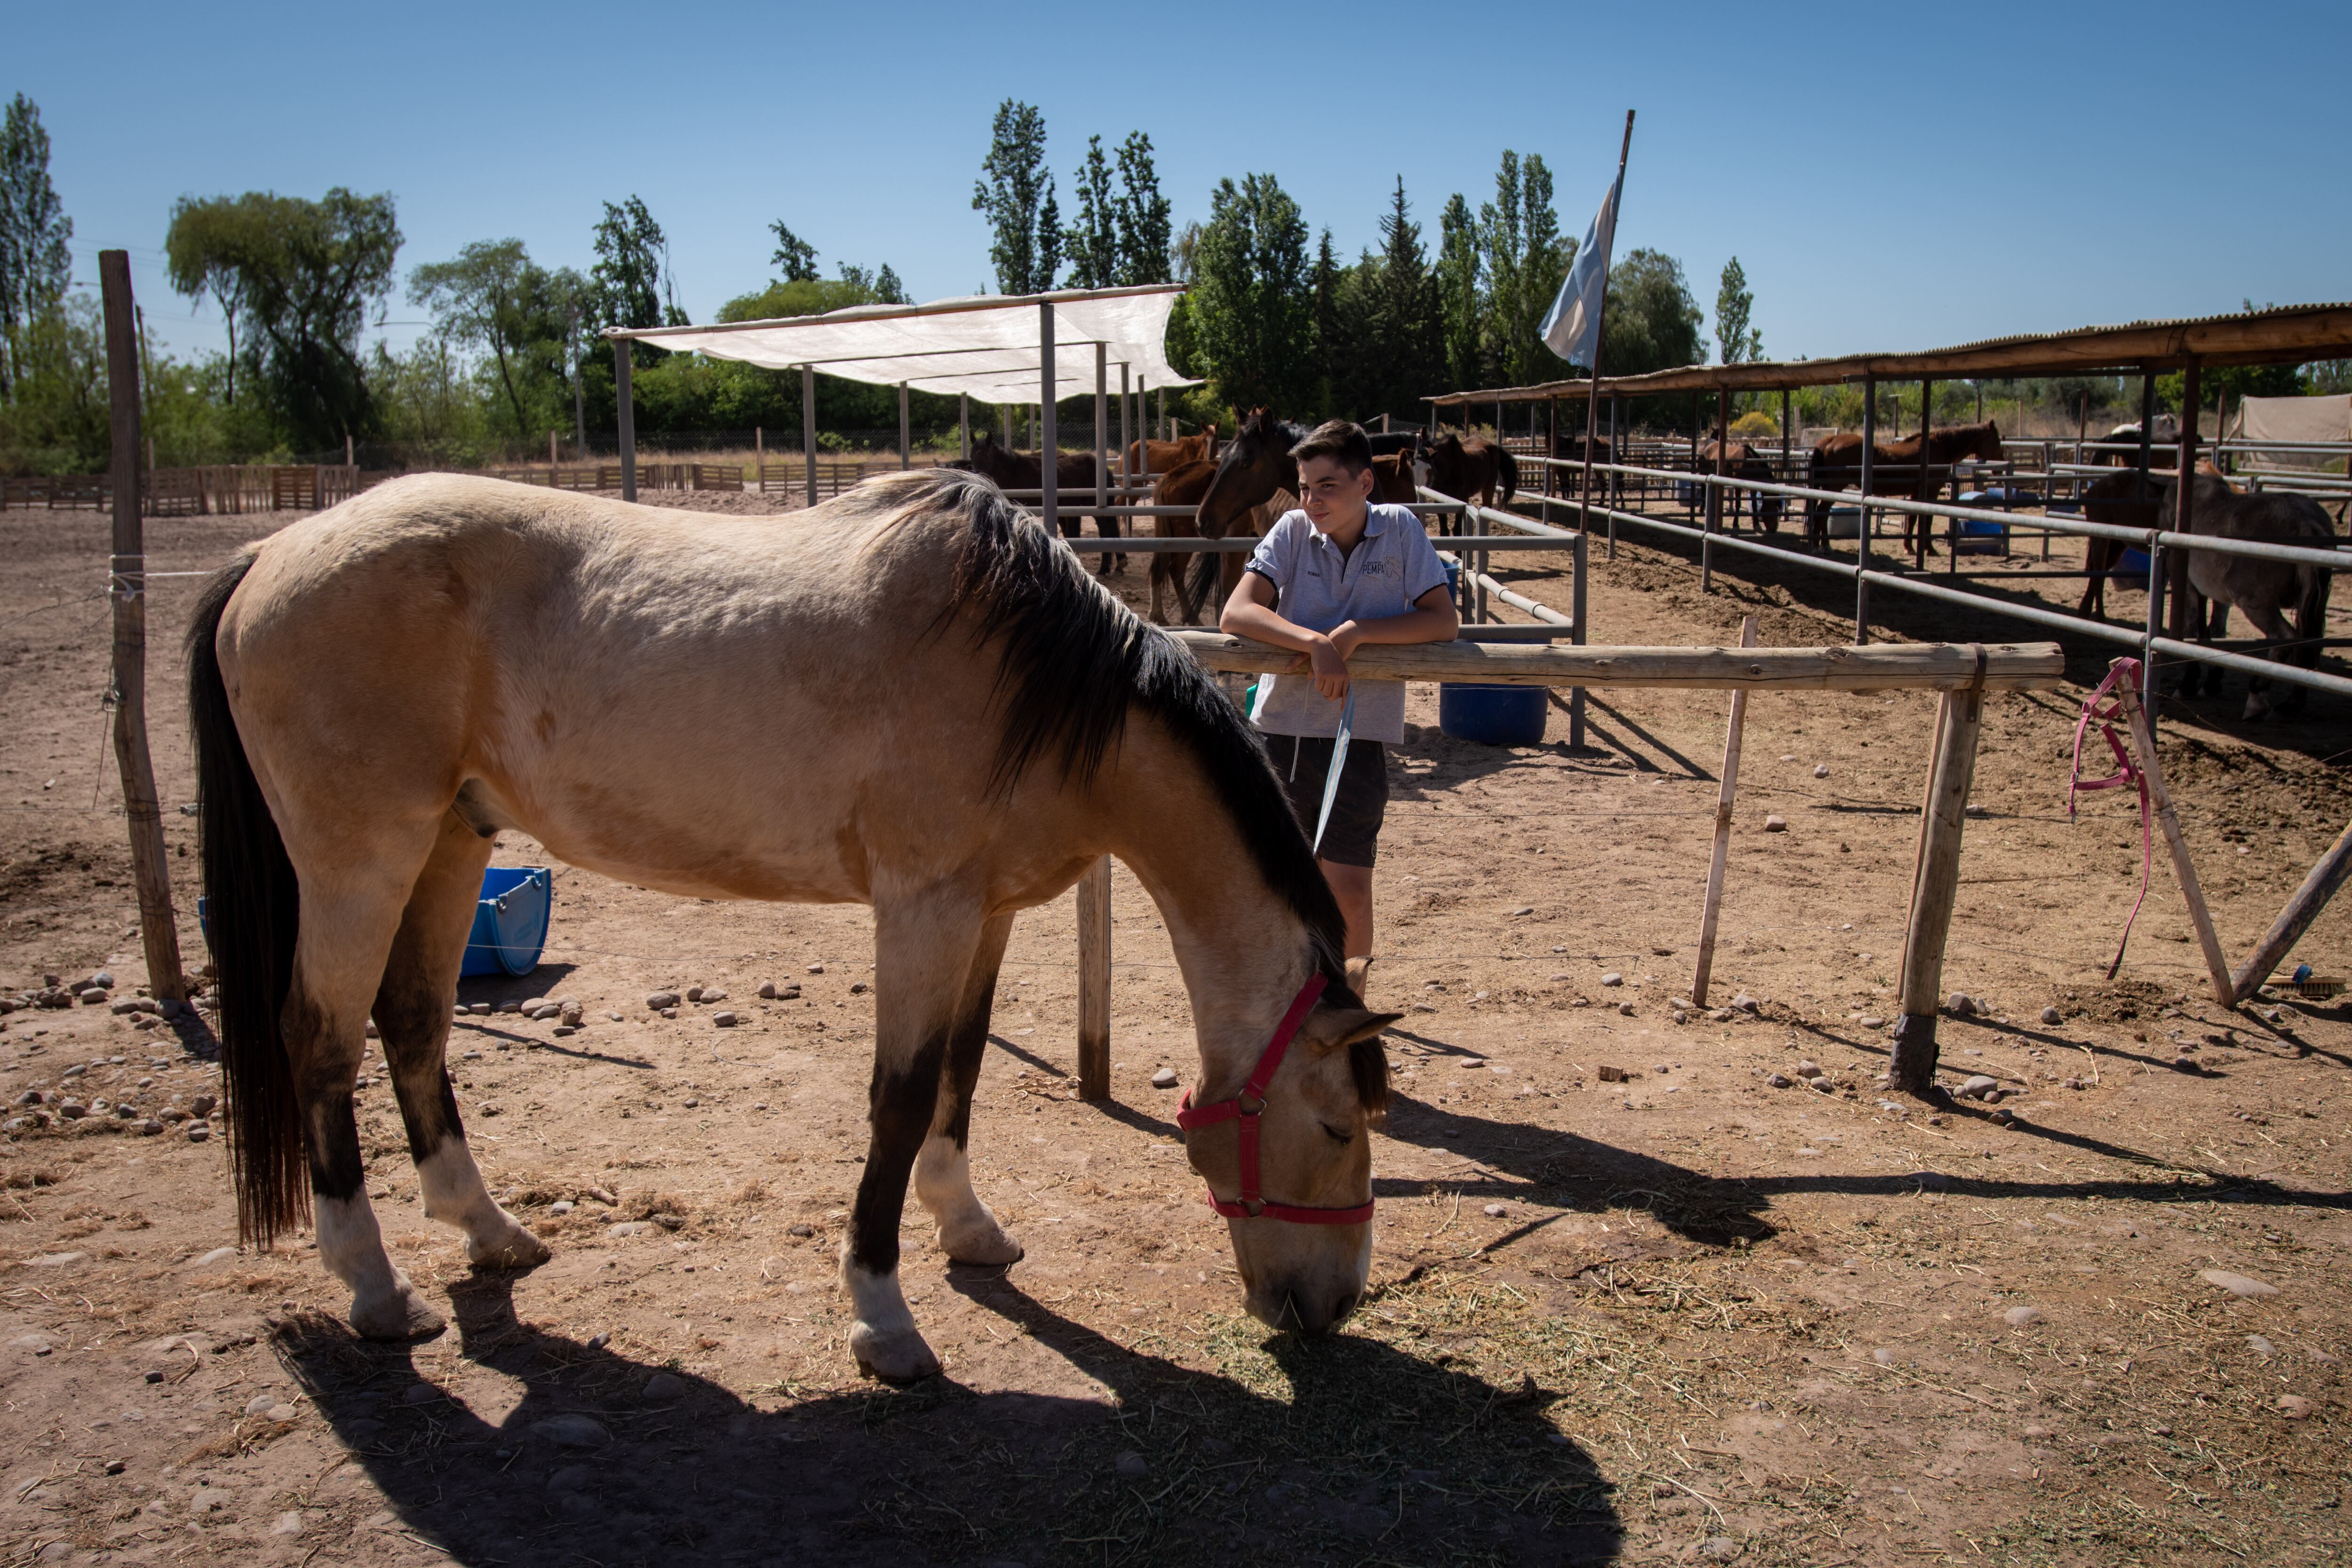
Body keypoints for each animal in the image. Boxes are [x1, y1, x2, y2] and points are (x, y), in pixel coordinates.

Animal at [193, 472, 1392, 1382]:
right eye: (1338, 1128)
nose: (1332, 1305)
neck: (1042, 685)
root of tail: (270, 554)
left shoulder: (986, 916)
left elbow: (960, 1072)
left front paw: (968, 1229)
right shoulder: (924, 911)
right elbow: (900, 1099)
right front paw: (884, 1319)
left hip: (452, 838)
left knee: (413, 1024)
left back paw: (488, 1232)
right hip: (361, 861)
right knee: (321, 1040)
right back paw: (375, 1287)